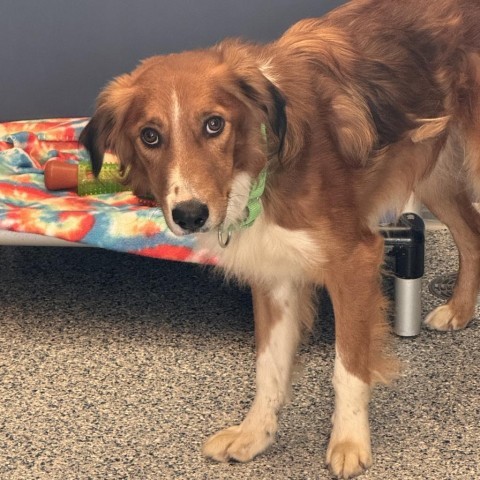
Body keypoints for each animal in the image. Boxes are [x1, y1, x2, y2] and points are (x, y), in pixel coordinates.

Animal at [79, 1, 480, 478]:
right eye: (150, 136)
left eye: (214, 125)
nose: (190, 215)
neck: (260, 161)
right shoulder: (274, 273)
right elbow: (268, 367)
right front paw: (256, 434)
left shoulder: (355, 260)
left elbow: (347, 368)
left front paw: (349, 441)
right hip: (434, 170)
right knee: (473, 234)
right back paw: (460, 309)